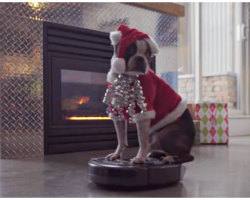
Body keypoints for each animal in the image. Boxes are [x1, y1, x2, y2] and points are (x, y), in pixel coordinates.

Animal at [104, 25, 194, 165]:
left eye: (148, 54)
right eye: (130, 49)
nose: (140, 58)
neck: (125, 78)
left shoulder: (143, 113)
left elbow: (142, 140)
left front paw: (140, 158)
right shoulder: (117, 113)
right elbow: (121, 139)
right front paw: (117, 155)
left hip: (163, 135)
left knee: (187, 155)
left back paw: (171, 158)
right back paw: (156, 154)